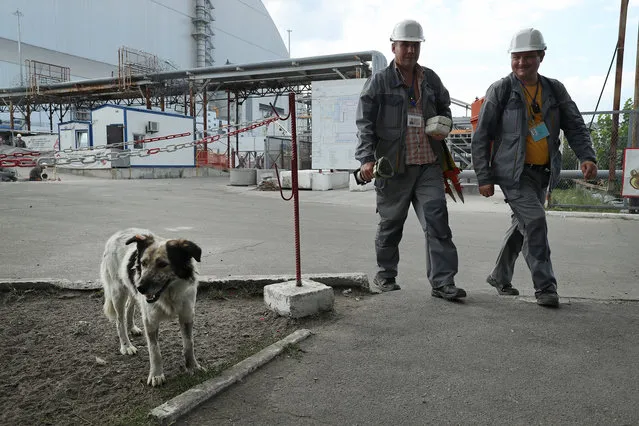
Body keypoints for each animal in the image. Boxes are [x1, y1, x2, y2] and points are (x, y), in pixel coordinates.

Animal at [100, 230, 205, 386]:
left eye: (162, 264)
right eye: (143, 263)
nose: (141, 288)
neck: (169, 294)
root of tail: (116, 234)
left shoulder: (187, 315)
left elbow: (188, 344)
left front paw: (192, 367)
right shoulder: (150, 320)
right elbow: (154, 351)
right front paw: (156, 375)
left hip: (132, 290)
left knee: (129, 306)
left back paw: (132, 328)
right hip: (118, 292)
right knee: (119, 321)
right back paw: (126, 346)